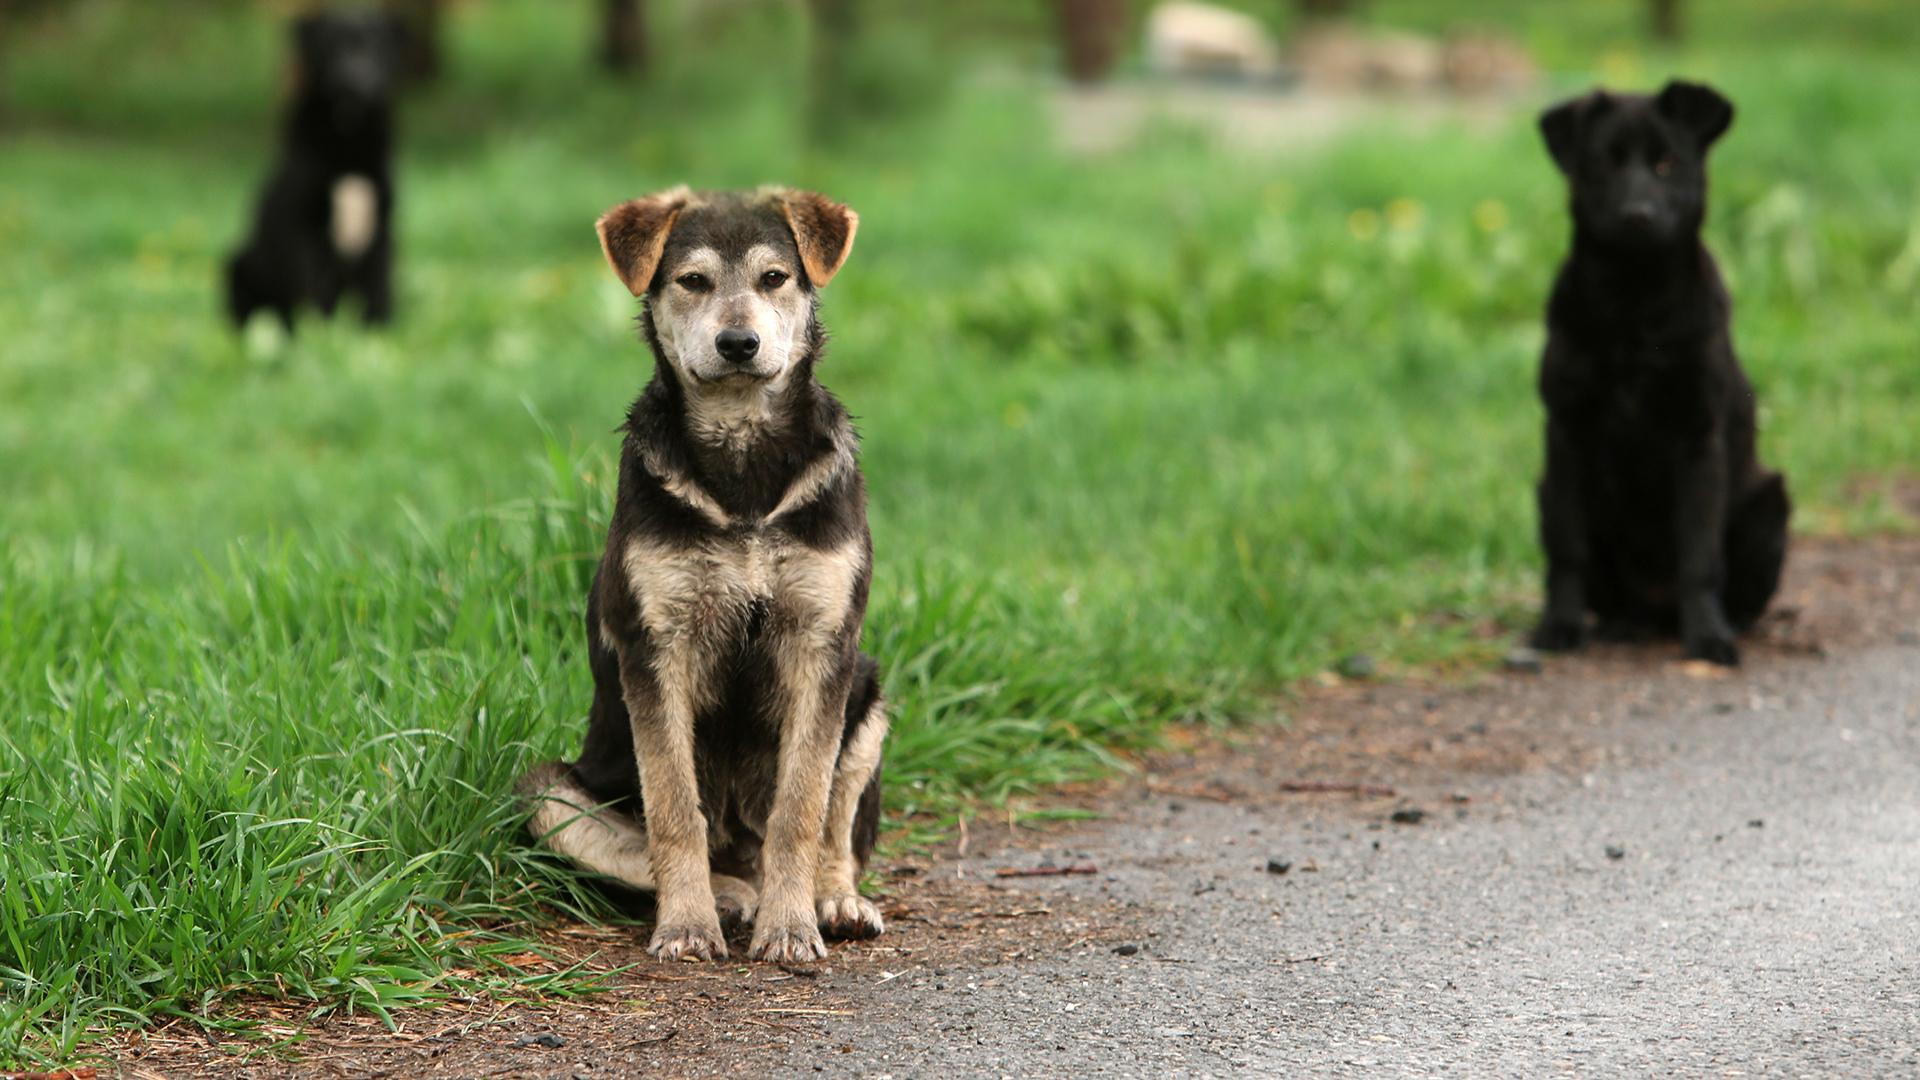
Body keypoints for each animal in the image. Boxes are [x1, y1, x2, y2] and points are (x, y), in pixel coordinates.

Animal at [224, 9, 401, 328]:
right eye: (331, 47)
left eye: (373, 47)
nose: (352, 79)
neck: (348, 147)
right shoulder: (303, 231)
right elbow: (312, 294)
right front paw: (319, 336)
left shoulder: (381, 232)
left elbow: (377, 292)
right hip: (236, 265)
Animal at [518, 184, 890, 957]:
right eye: (692, 282)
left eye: (775, 278)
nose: (738, 344)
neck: (742, 452)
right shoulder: (657, 647)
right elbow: (673, 807)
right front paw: (687, 926)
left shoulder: (823, 644)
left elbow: (802, 807)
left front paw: (791, 928)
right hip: (547, 792)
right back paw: (728, 896)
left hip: (869, 697)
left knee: (835, 826)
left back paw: (832, 901)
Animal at [1520, 77, 1789, 664]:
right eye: (1605, 163)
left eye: (1667, 164)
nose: (1637, 215)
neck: (1634, 307)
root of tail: (1655, 608)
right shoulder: (1566, 437)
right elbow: (1567, 550)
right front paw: (1559, 625)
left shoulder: (1698, 440)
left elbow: (1700, 558)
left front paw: (1708, 636)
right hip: (1546, 491)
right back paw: (1620, 624)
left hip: (1769, 504)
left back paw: (1727, 624)